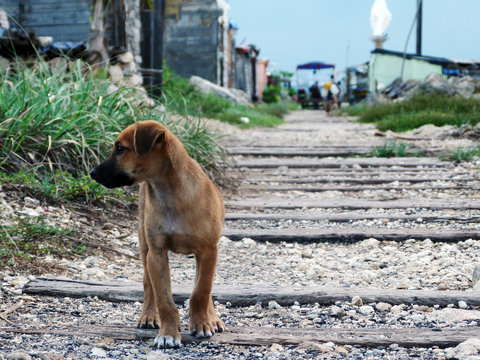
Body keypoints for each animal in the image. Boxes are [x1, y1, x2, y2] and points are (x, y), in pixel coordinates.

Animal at [90, 121, 225, 348]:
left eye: (120, 148)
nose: (92, 173)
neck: (171, 194)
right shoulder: (157, 253)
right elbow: (164, 299)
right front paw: (168, 333)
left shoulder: (208, 251)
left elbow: (201, 291)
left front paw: (202, 323)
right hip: (145, 249)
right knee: (148, 285)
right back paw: (148, 316)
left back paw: (212, 318)